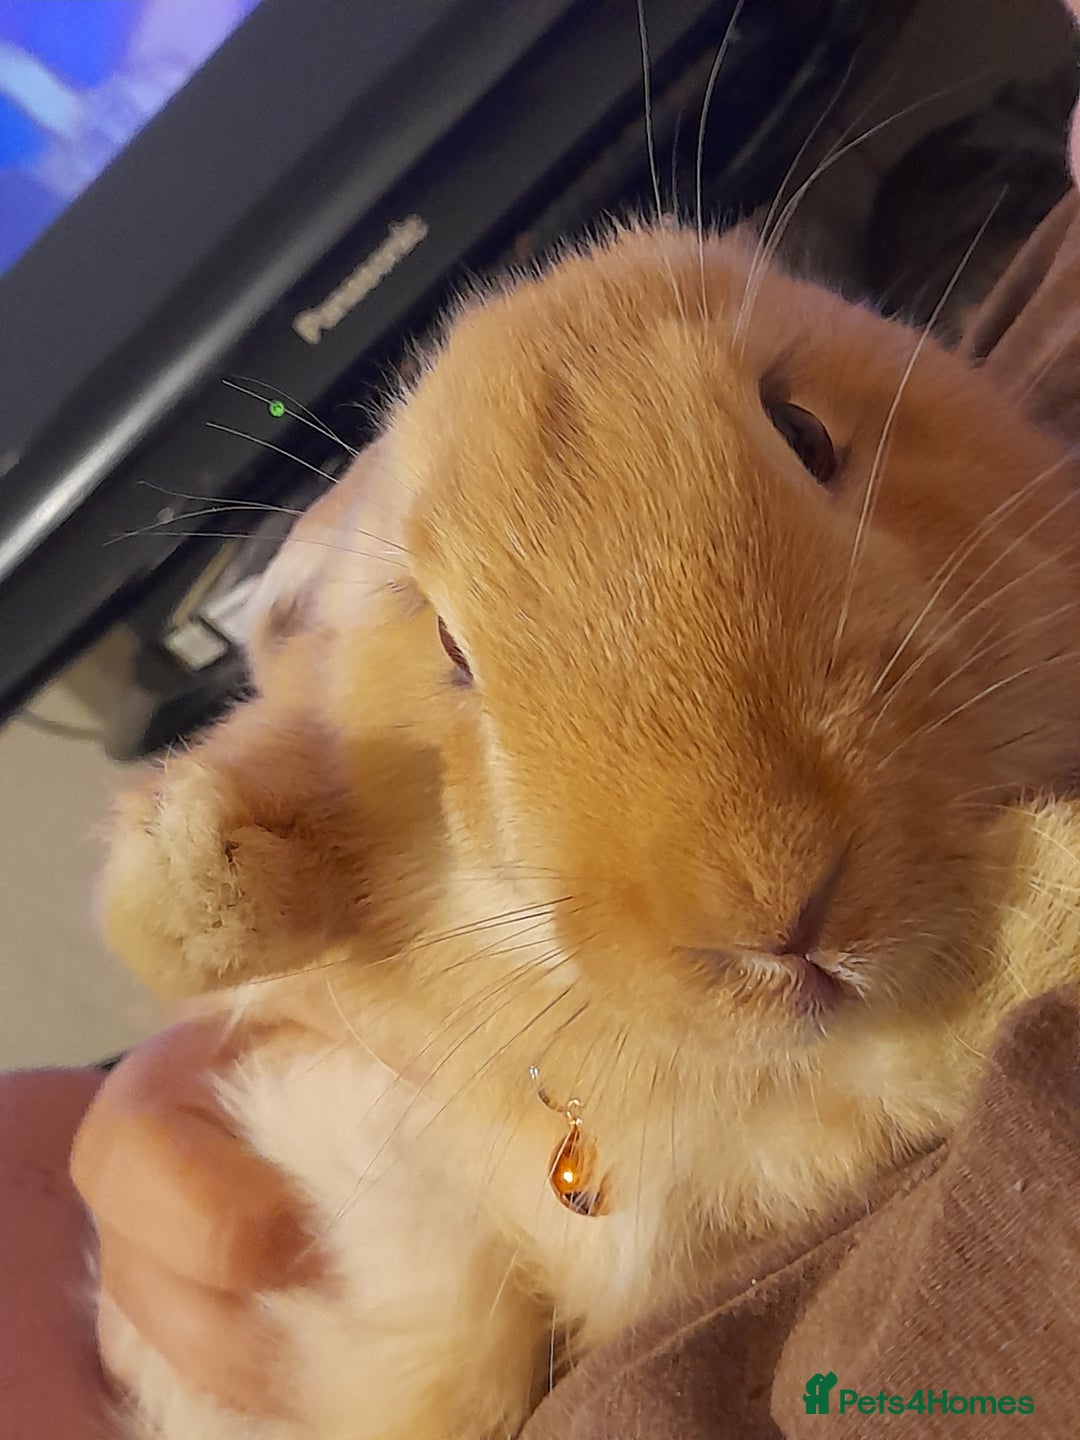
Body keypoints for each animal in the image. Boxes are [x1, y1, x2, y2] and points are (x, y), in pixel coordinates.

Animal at [98, 223, 1080, 1440]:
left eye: (805, 433)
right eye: (450, 646)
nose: (780, 908)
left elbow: (901, 1068)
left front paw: (1053, 894)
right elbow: (269, 788)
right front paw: (192, 863)